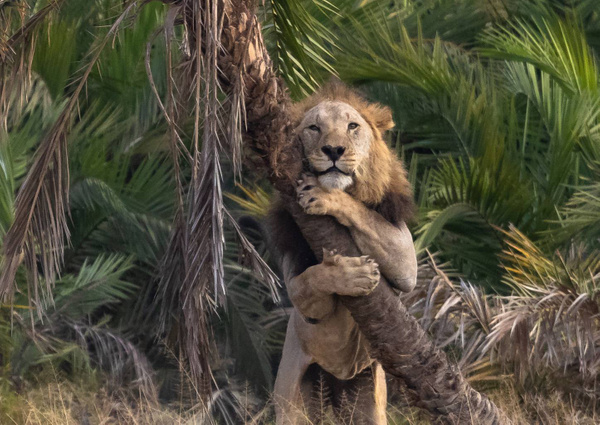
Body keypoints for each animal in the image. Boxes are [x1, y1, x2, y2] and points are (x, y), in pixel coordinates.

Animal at [268, 83, 418, 424]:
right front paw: (354, 275)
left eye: (352, 126)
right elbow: (313, 277)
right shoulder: (300, 291)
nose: (334, 150)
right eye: (314, 128)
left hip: (368, 400)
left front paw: (325, 195)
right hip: (293, 401)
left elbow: (360, 211)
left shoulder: (406, 258)